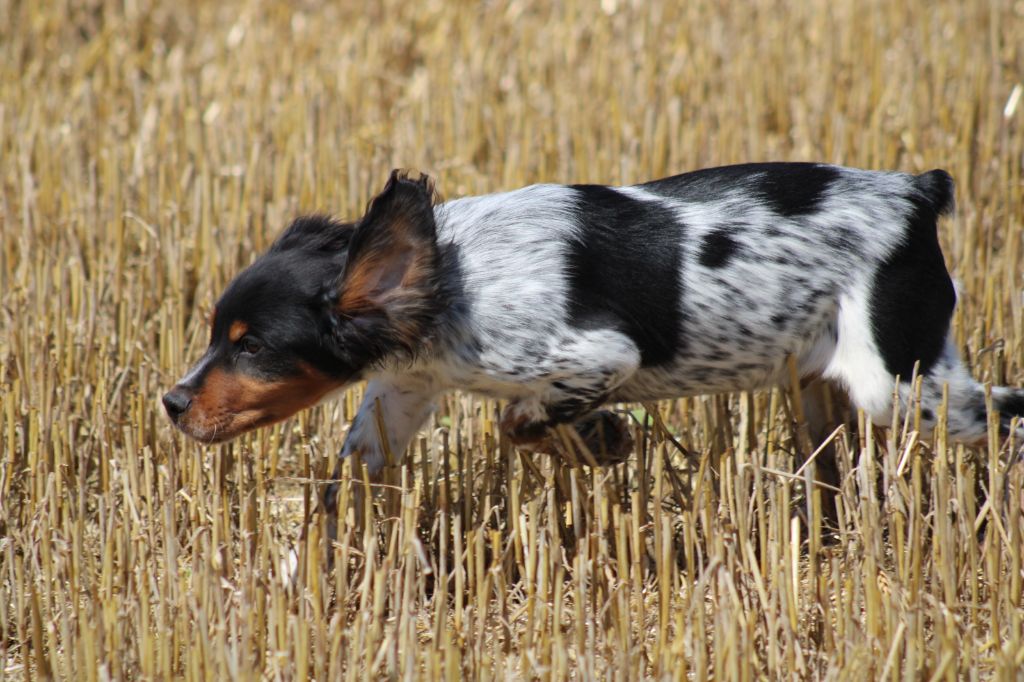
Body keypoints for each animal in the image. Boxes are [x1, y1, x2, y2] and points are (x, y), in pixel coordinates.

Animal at [159, 160, 1024, 516]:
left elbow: (519, 420)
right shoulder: (399, 393)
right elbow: (347, 484)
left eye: (251, 345)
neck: (453, 277)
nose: (171, 403)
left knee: (1004, 411)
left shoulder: (601, 355)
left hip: (898, 383)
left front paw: (604, 440)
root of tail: (915, 193)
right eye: (220, 335)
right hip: (821, 385)